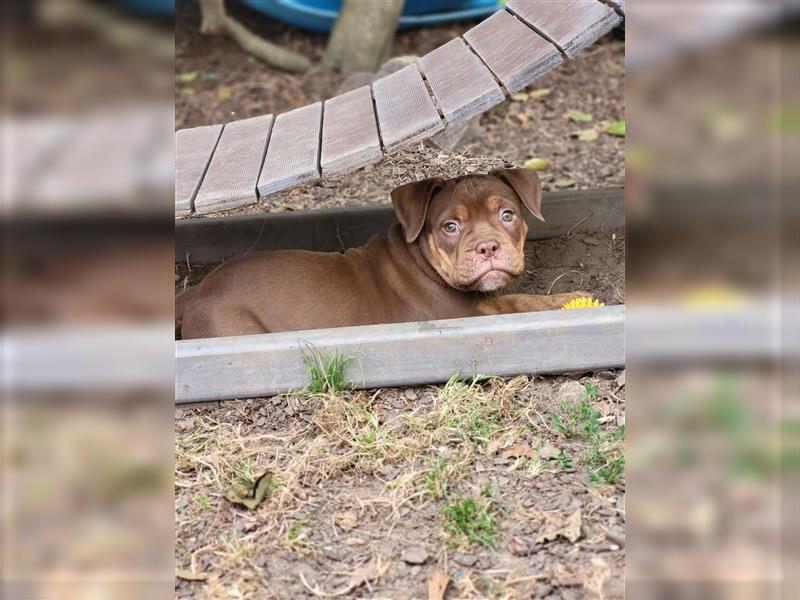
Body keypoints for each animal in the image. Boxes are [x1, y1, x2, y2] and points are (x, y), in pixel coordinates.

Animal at [177, 169, 588, 338]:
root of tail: (197, 292)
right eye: (449, 227)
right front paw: (573, 300)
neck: (423, 261)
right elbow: (520, 304)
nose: (488, 246)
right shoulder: (470, 313)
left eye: (508, 215)